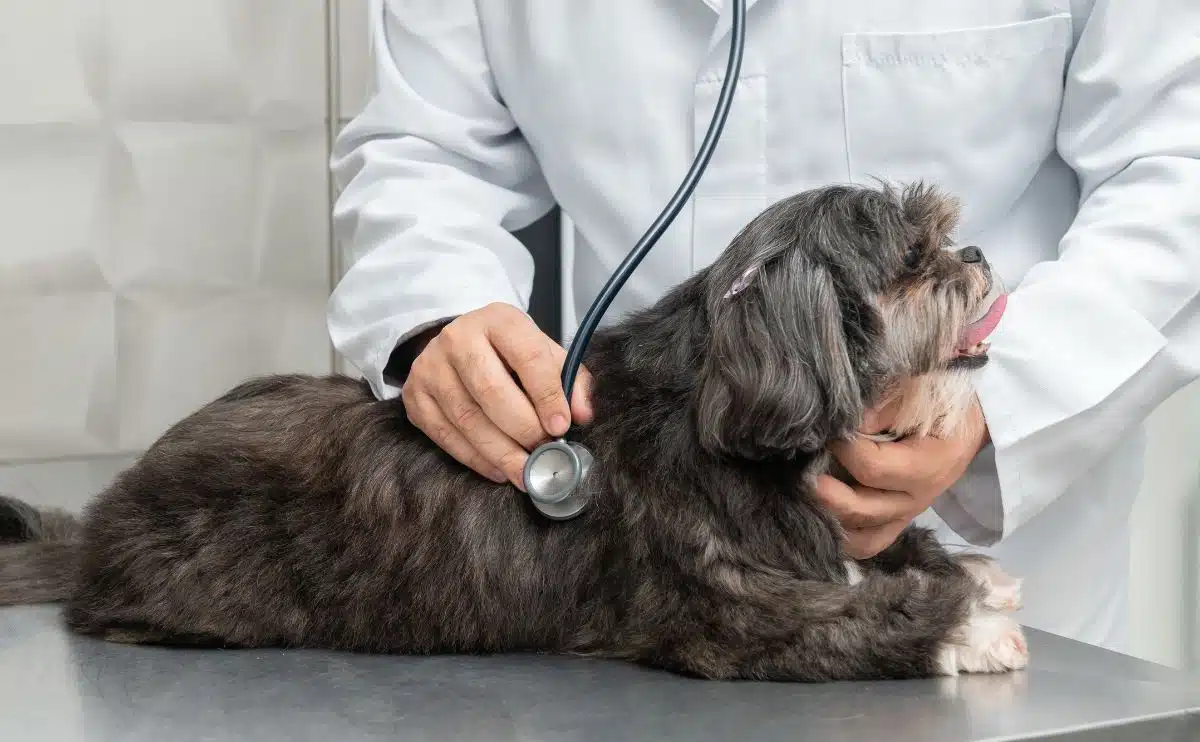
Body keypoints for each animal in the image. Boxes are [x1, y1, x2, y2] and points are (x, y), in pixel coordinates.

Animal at [2, 183, 1032, 677]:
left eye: (944, 237)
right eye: (913, 259)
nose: (978, 252)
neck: (719, 408)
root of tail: (101, 525)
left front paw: (959, 568)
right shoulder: (721, 615)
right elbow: (859, 620)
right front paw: (969, 630)